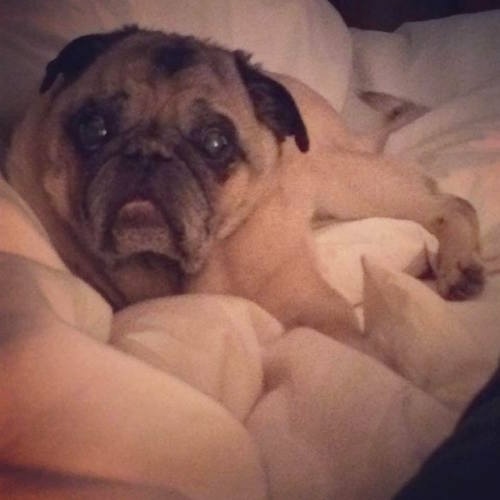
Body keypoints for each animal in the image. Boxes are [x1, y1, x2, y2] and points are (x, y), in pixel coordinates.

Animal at [4, 26, 484, 348]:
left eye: (216, 143)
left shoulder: (317, 311)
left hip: (346, 180)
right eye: (94, 128)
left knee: (451, 203)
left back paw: (460, 265)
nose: (147, 154)